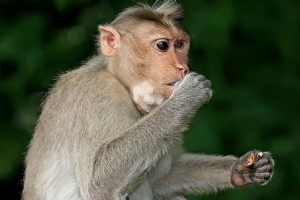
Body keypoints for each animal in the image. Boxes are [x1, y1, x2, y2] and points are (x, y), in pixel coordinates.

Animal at [22, 0, 274, 200]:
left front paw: (241, 169)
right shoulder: (96, 95)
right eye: (162, 45)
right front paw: (187, 96)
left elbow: (162, 179)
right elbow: (98, 182)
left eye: (180, 45)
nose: (183, 67)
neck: (122, 83)